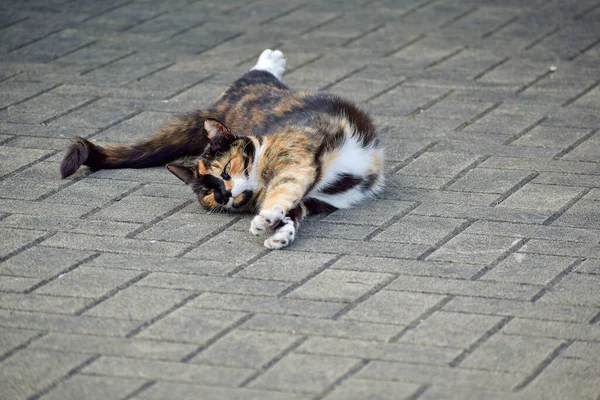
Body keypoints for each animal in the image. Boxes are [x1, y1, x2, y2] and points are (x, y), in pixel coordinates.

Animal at [61, 48, 384, 245]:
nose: (222, 193)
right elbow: (292, 212)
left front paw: (266, 217)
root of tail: (216, 109)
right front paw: (279, 233)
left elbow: (284, 189)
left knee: (253, 78)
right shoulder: (308, 198)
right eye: (207, 191)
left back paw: (270, 61)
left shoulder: (296, 159)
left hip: (257, 93)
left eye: (226, 170)